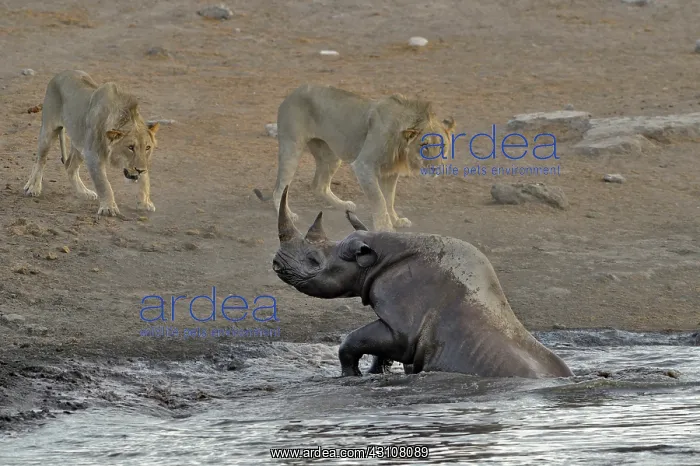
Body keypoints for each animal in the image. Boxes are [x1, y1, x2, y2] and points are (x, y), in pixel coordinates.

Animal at [272, 186, 574, 378]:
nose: (276, 264)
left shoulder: (405, 330)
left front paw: (350, 376)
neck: (377, 256)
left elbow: (354, 340)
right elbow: (377, 348)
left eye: (313, 260)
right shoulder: (403, 330)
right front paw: (374, 374)